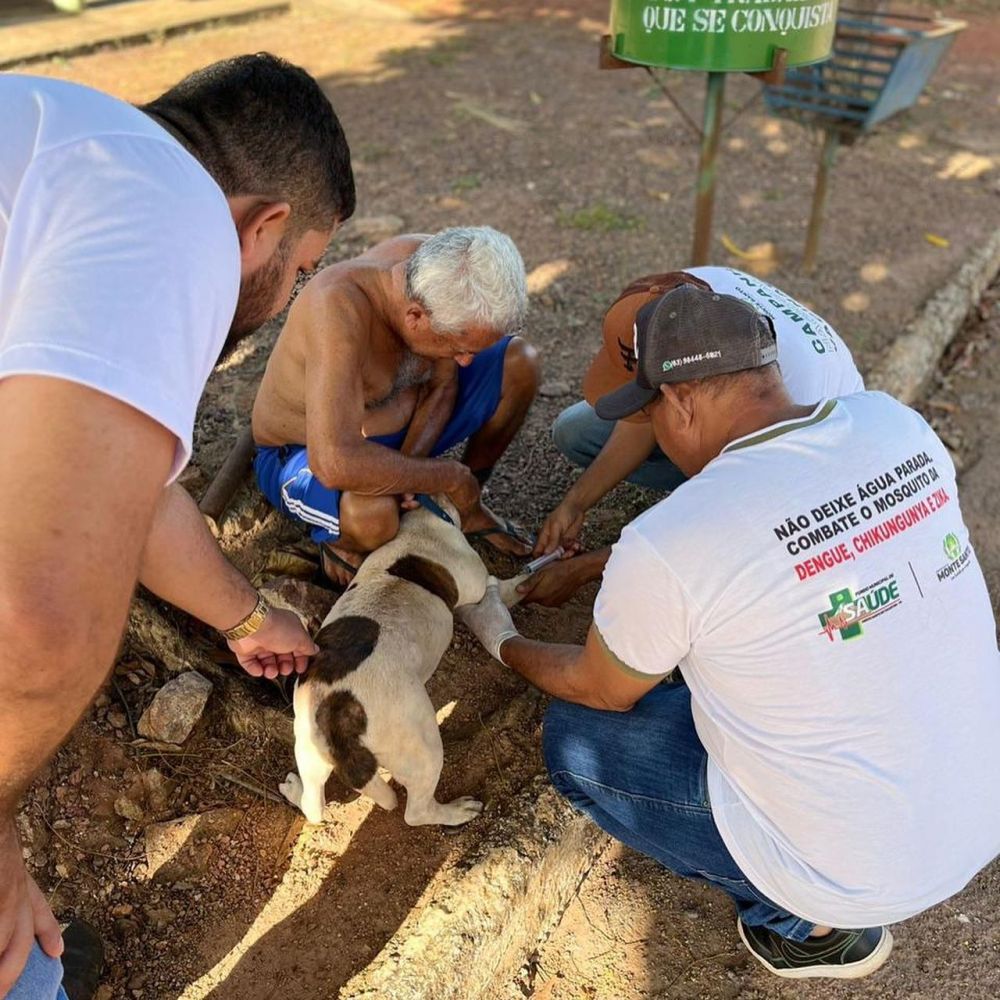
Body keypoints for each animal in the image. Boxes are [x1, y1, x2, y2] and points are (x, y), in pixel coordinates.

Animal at [278, 494, 520, 828]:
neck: (424, 519)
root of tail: (335, 713)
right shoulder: (479, 582)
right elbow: (507, 587)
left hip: (308, 749)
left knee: (313, 806)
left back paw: (294, 790)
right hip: (422, 749)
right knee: (416, 812)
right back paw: (455, 811)